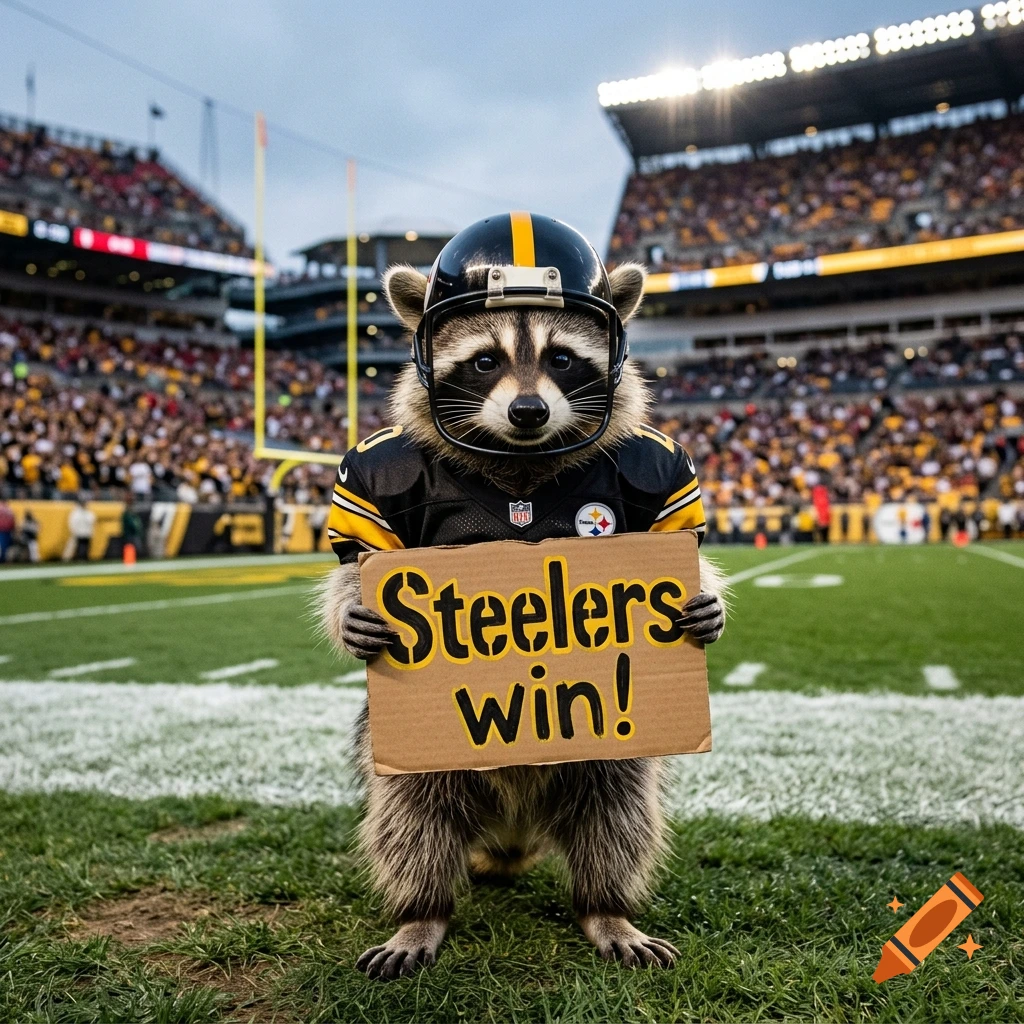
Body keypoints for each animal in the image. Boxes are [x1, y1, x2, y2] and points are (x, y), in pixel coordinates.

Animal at [318, 215, 727, 980]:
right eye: (485, 361)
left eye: (562, 358)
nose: (529, 410)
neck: (521, 457)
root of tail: (512, 823)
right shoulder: (372, 477)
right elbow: (354, 568)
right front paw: (355, 611)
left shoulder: (661, 466)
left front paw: (706, 603)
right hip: (419, 751)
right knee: (412, 814)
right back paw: (422, 911)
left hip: (602, 757)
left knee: (616, 808)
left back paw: (604, 905)